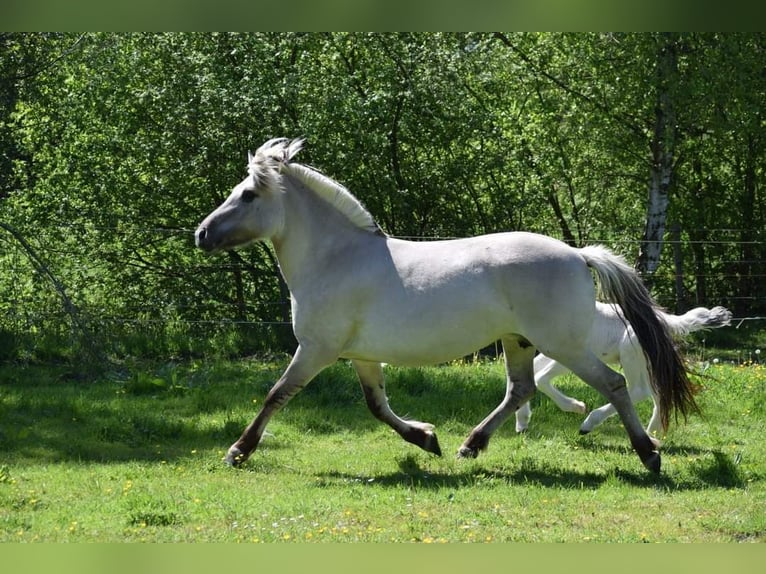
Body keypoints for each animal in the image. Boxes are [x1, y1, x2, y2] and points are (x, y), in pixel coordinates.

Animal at [195, 137, 700, 474]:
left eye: (248, 194)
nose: (201, 234)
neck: (336, 258)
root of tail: (578, 254)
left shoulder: (317, 349)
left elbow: (278, 394)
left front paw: (238, 451)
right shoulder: (361, 355)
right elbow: (377, 405)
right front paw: (426, 438)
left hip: (563, 344)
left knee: (613, 385)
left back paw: (647, 454)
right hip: (518, 341)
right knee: (521, 390)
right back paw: (470, 445)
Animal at [516, 306, 732, 436]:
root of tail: (664, 320)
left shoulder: (570, 354)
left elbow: (540, 379)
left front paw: (577, 406)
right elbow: (530, 378)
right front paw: (522, 422)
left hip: (630, 356)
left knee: (638, 391)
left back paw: (588, 424)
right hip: (646, 365)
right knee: (658, 393)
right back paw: (653, 433)